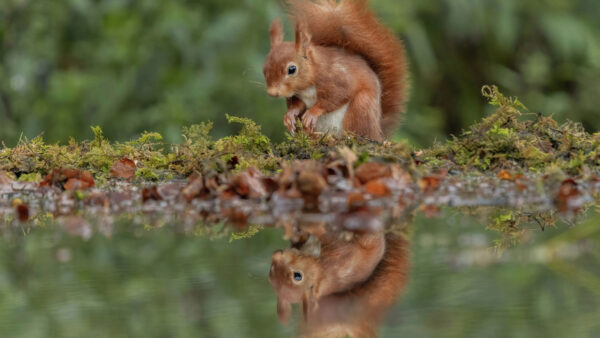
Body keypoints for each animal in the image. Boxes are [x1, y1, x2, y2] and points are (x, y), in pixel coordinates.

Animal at [262, 0, 408, 142]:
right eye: (264, 70)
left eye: (292, 69)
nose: (272, 93)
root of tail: (378, 131)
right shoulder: (298, 95)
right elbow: (298, 104)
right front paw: (289, 115)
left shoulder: (337, 78)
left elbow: (336, 97)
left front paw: (313, 113)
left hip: (361, 107)